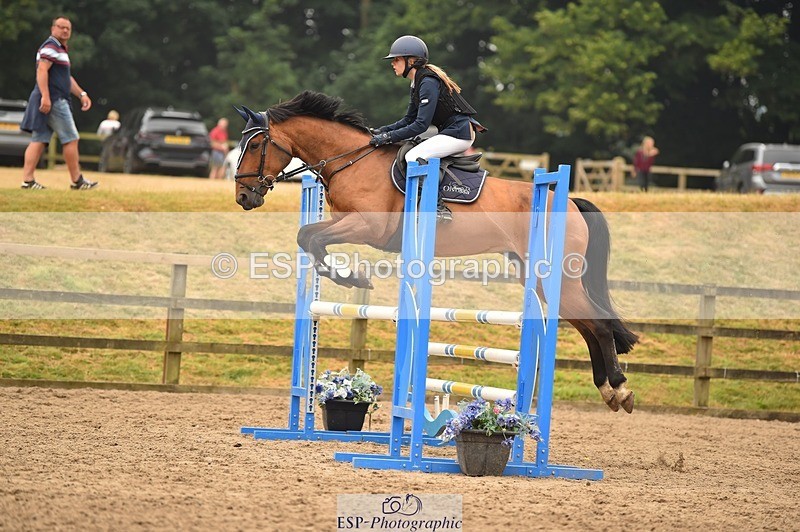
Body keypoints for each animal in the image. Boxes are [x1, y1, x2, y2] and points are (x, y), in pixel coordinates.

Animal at [233, 90, 638, 414]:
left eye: (254, 145)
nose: (243, 197)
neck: (352, 160)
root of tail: (569, 201)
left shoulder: (366, 226)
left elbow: (310, 237)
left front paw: (352, 278)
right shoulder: (347, 223)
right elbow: (309, 237)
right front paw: (346, 275)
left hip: (557, 275)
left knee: (599, 325)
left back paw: (618, 388)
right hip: (539, 276)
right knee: (586, 325)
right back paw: (608, 389)